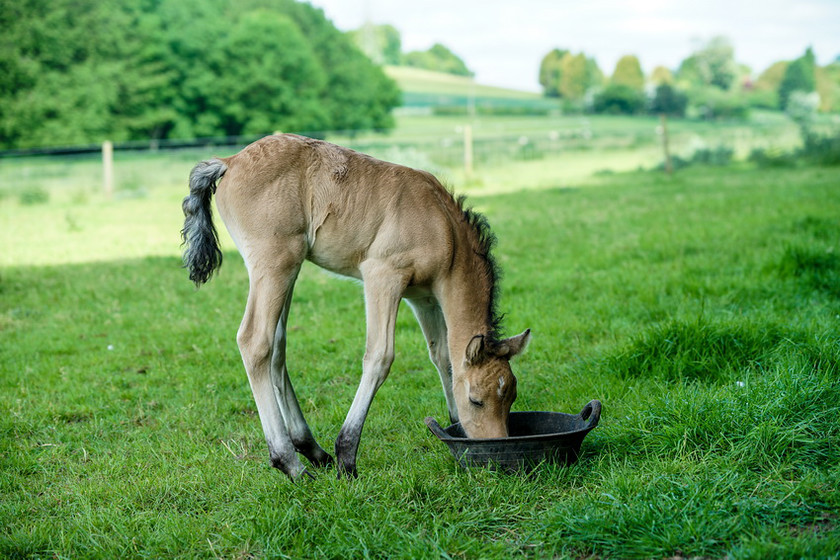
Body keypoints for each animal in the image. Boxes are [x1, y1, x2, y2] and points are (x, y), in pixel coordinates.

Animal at [181, 133, 528, 480]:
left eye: (511, 397)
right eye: (476, 400)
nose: (497, 452)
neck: (444, 228)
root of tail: (230, 161)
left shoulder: (424, 297)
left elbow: (443, 357)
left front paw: (454, 426)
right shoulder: (382, 276)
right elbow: (379, 356)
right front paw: (347, 455)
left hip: (288, 269)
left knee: (277, 347)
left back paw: (311, 449)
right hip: (275, 262)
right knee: (255, 342)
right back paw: (290, 462)